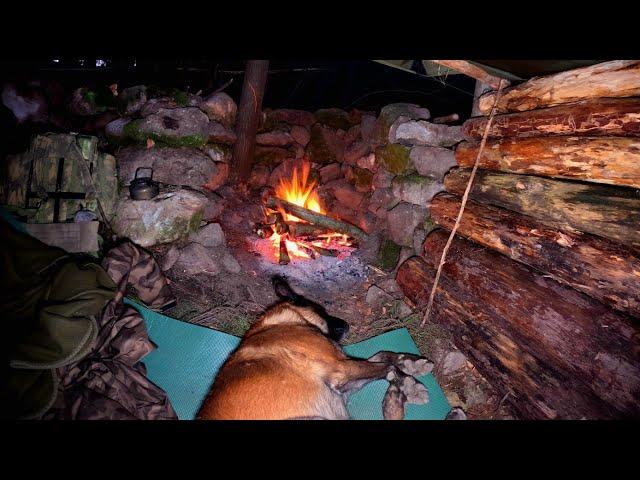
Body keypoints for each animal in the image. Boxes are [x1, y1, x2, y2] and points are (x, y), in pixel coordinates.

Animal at [198, 278, 432, 420]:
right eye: (323, 310)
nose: (347, 324)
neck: (285, 321)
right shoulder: (340, 368)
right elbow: (388, 367)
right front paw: (409, 385)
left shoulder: (342, 381)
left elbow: (383, 356)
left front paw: (412, 364)